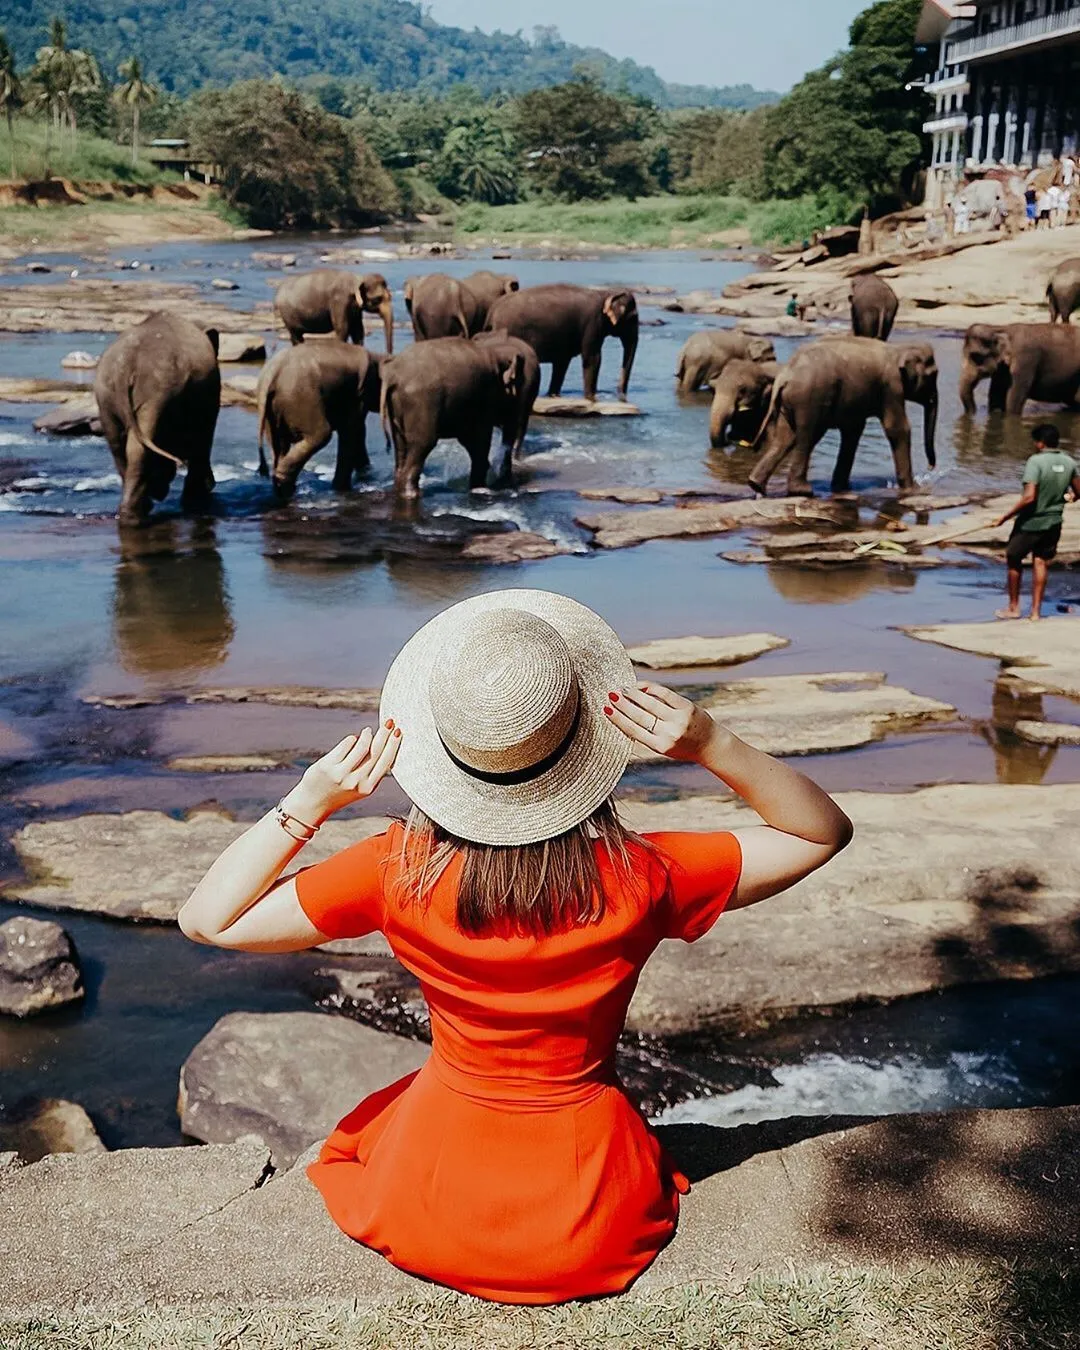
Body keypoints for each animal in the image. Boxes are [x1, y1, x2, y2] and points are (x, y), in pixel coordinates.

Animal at [95, 313, 222, 523]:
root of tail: (126, 366)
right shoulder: (210, 395)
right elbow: (204, 434)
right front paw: (199, 495)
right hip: (157, 393)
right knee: (138, 445)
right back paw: (137, 514)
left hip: (107, 396)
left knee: (118, 445)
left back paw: (135, 510)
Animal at [257, 340, 383, 499]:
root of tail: (272, 372)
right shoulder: (358, 394)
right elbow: (352, 430)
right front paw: (342, 489)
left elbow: (357, 430)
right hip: (303, 398)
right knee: (321, 435)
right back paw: (284, 483)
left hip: (271, 411)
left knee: (279, 446)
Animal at [483, 283, 642, 399]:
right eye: (633, 317)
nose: (620, 393)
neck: (607, 293)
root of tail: (492, 310)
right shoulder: (593, 323)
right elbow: (592, 359)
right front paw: (591, 398)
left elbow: (562, 363)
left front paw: (552, 395)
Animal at [750, 337, 934, 502]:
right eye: (932, 376)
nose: (930, 468)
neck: (899, 348)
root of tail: (785, 375)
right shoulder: (891, 386)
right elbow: (897, 428)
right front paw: (913, 490)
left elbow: (853, 430)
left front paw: (841, 487)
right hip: (809, 398)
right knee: (807, 436)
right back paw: (803, 491)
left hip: (790, 402)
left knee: (785, 438)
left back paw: (757, 486)